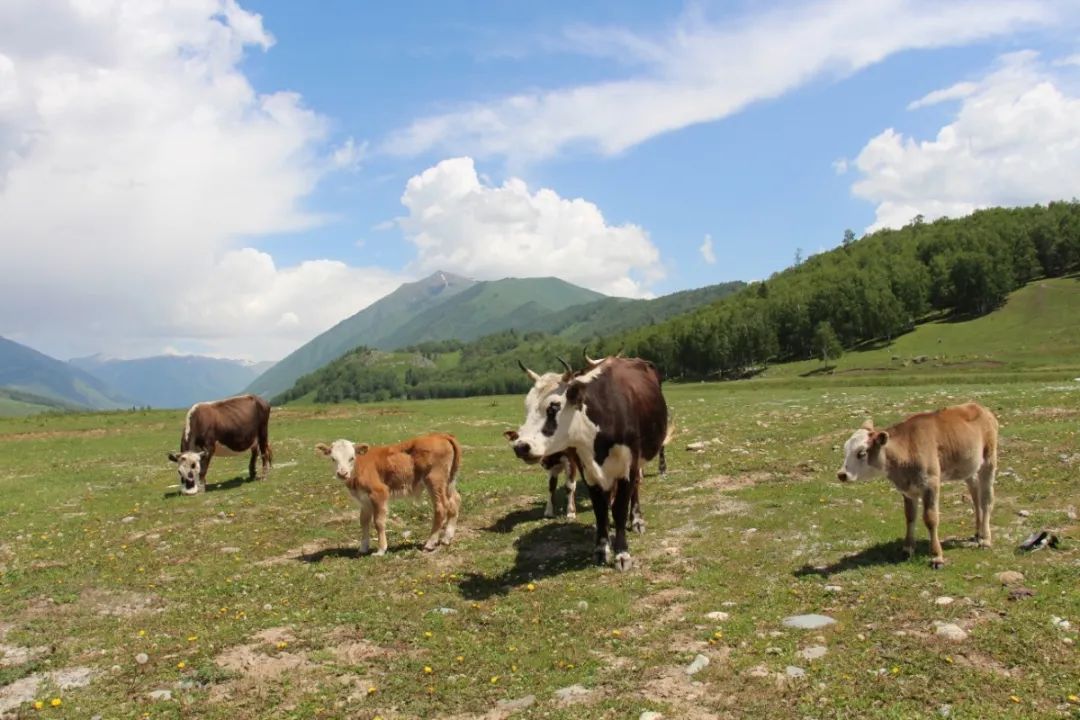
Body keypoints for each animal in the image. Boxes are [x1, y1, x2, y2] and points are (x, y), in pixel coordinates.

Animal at [315, 433, 462, 557]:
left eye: (352, 458)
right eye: (333, 459)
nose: (342, 473)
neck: (359, 467)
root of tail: (440, 435)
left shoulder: (379, 493)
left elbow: (378, 522)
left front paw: (381, 550)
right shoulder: (364, 500)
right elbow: (364, 521)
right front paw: (363, 548)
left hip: (434, 480)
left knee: (441, 507)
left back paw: (430, 543)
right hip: (448, 482)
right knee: (455, 501)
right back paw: (447, 538)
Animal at [511, 358, 665, 569]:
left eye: (553, 407)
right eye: (527, 407)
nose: (521, 446)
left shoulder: (628, 468)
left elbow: (619, 509)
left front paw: (622, 553)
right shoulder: (589, 471)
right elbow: (600, 510)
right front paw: (601, 548)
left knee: (635, 490)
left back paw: (637, 520)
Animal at [833, 399, 1002, 569]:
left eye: (861, 453)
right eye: (845, 450)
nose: (842, 474)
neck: (907, 449)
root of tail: (978, 406)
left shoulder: (931, 484)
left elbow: (930, 519)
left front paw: (936, 556)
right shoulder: (907, 490)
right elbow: (910, 517)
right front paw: (907, 549)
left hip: (989, 460)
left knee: (986, 499)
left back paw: (985, 539)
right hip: (969, 467)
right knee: (976, 496)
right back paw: (978, 533)